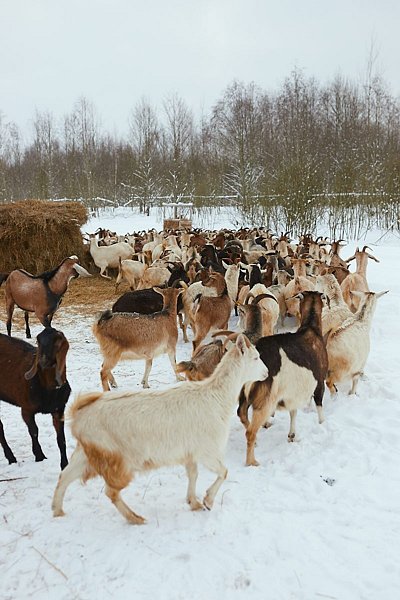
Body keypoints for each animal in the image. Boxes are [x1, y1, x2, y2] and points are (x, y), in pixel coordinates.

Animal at [0, 327, 71, 469]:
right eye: (38, 340)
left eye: (57, 340)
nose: (42, 362)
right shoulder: (26, 409)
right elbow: (34, 431)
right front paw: (39, 456)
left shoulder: (59, 409)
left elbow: (61, 439)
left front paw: (65, 465)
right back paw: (11, 458)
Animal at [51, 334, 269, 523]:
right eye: (256, 357)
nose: (266, 372)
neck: (216, 396)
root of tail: (78, 416)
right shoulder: (208, 450)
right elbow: (224, 472)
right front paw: (207, 500)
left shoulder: (190, 452)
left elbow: (193, 474)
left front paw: (194, 502)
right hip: (117, 460)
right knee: (110, 491)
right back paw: (135, 518)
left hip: (88, 451)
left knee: (65, 475)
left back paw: (57, 510)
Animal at [238, 291, 328, 466]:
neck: (311, 329)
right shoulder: (320, 381)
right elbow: (319, 403)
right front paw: (322, 424)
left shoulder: (292, 391)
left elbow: (293, 411)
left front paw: (292, 435)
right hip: (265, 399)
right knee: (250, 431)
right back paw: (252, 461)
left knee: (241, 413)